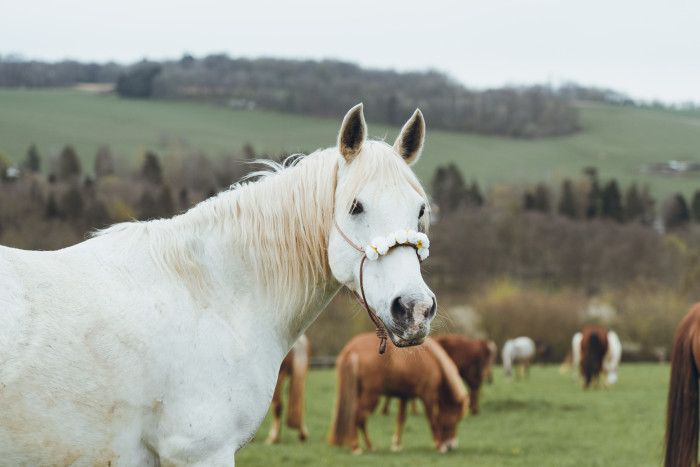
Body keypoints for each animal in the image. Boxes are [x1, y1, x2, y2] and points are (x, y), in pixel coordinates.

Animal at [326, 334, 464, 456]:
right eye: (456, 419)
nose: (450, 445)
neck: (433, 360)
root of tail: (352, 348)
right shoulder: (428, 397)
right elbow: (433, 420)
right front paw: (439, 446)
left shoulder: (405, 397)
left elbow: (401, 419)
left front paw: (396, 445)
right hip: (371, 396)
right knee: (357, 416)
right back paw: (356, 447)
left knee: (360, 419)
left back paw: (369, 446)